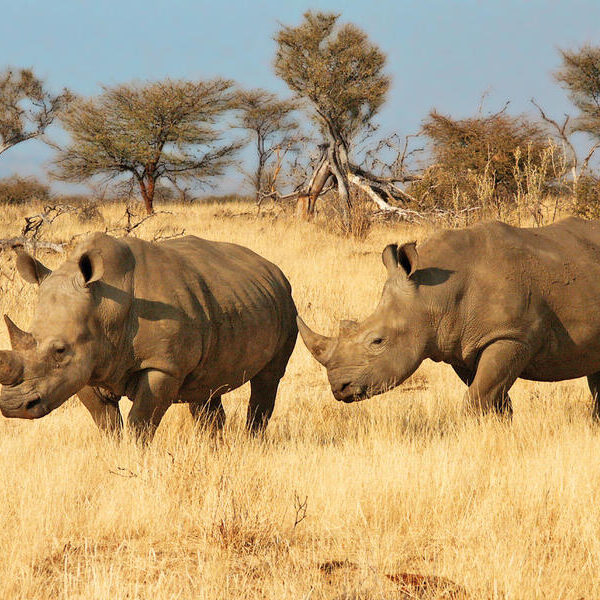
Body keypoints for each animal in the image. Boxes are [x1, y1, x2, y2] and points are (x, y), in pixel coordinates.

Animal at [0, 232, 298, 438]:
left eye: (60, 350)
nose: (14, 406)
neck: (105, 306)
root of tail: (271, 268)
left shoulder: (163, 365)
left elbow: (140, 423)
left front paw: (134, 457)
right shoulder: (85, 369)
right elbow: (107, 423)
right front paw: (114, 453)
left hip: (286, 302)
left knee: (267, 379)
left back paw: (252, 441)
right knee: (206, 387)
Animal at [298, 218, 600, 420]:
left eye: (378, 341)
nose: (339, 389)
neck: (432, 295)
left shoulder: (513, 335)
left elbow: (480, 394)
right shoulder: (461, 347)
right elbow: (491, 394)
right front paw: (498, 428)